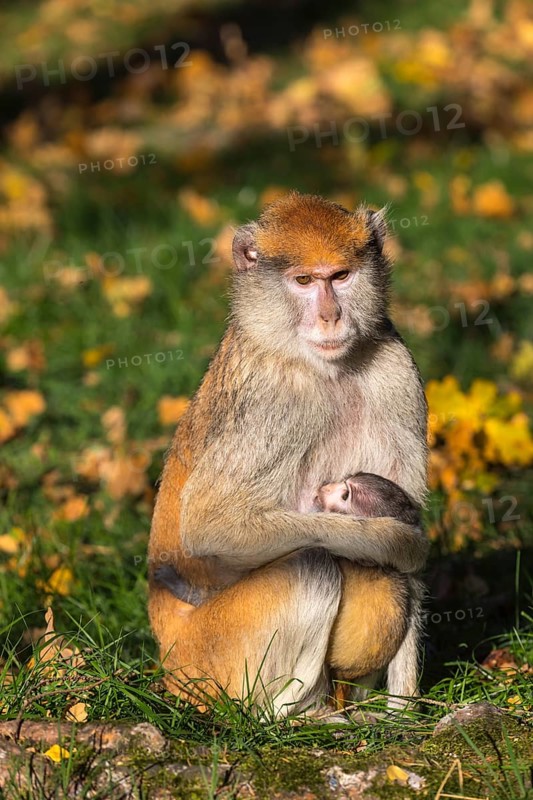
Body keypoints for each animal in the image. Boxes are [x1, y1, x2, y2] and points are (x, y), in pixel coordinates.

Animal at [148, 191, 428, 718]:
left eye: (340, 276)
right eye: (303, 281)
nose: (331, 316)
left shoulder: (395, 366)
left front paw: (405, 713)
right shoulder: (269, 400)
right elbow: (211, 525)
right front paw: (390, 540)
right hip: (210, 660)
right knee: (309, 567)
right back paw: (291, 718)